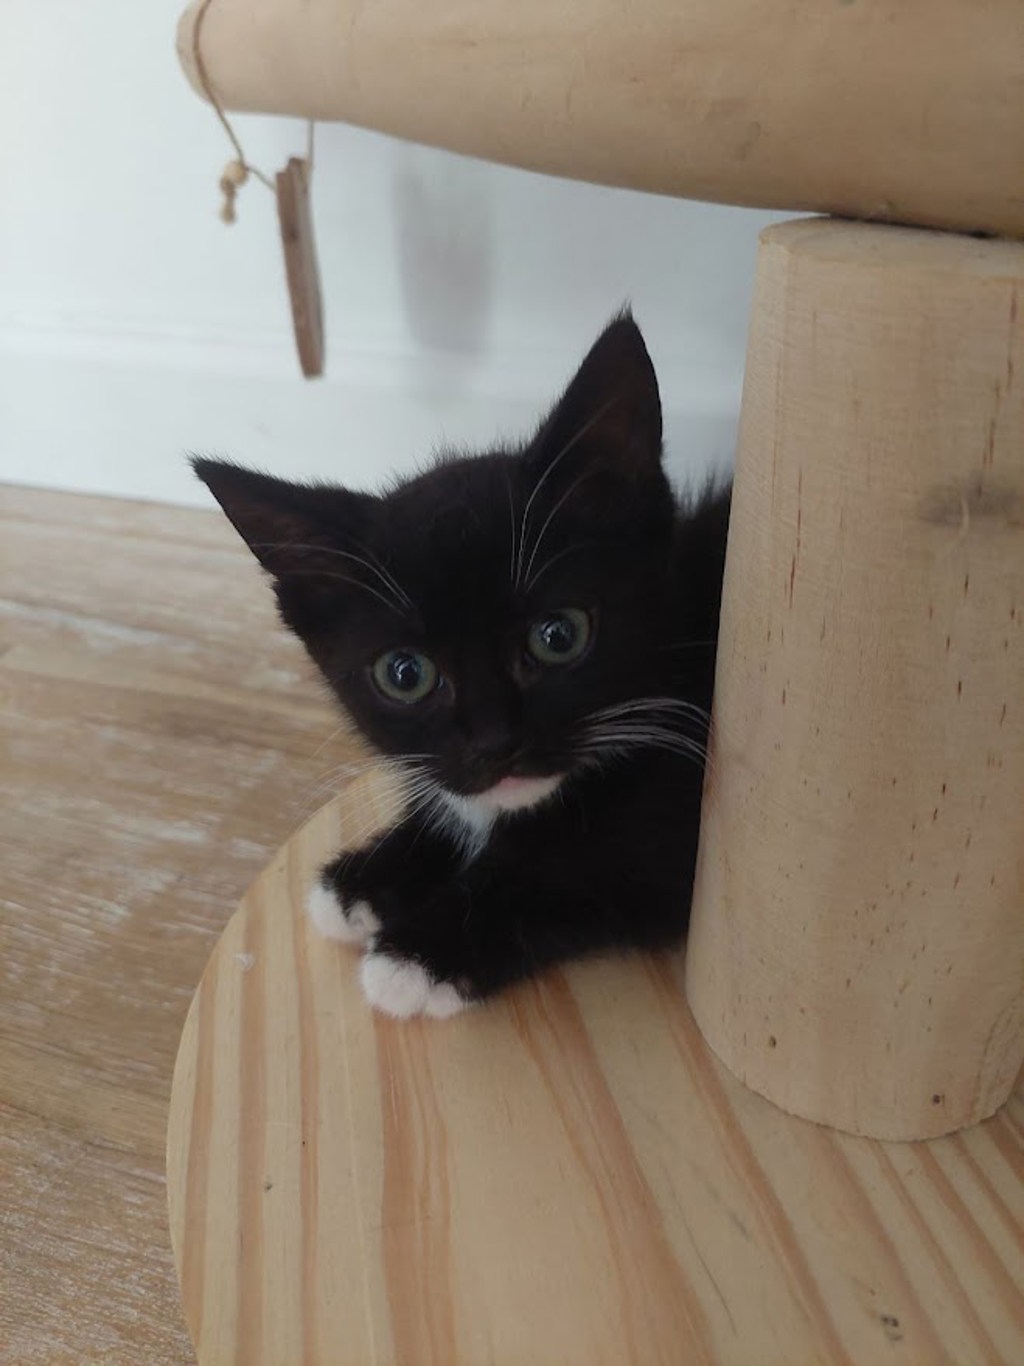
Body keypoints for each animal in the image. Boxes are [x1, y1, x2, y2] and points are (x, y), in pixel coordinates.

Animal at [193, 313, 731, 1019]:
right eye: (405, 674)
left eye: (559, 636)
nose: (497, 743)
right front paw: (369, 876)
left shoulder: (681, 843)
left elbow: (570, 878)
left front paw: (419, 954)